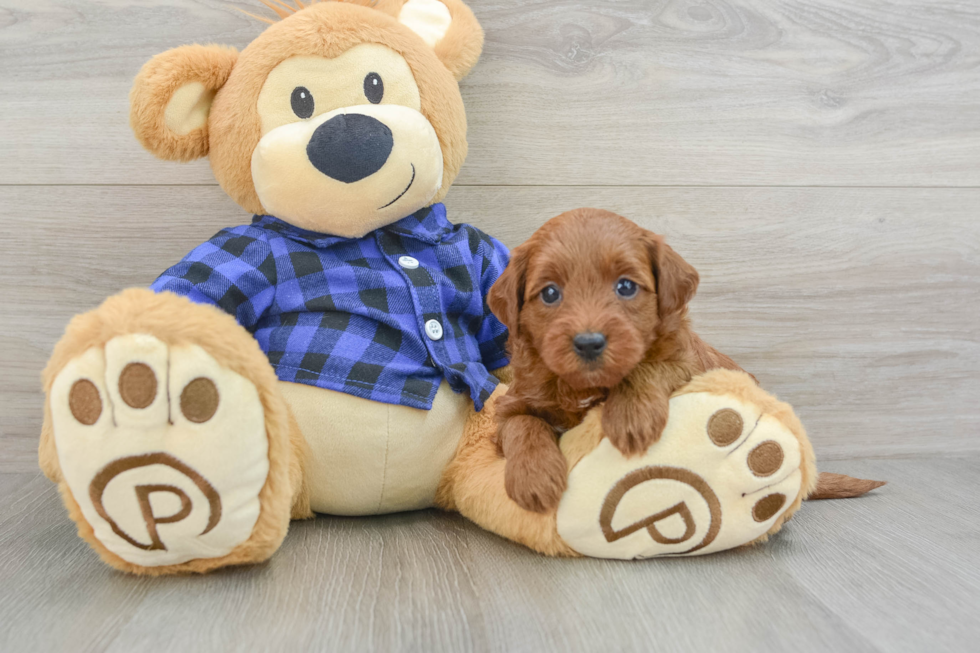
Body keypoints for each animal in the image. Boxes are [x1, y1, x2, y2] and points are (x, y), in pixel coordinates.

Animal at [490, 206, 752, 512]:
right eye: (550, 292)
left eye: (626, 286)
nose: (589, 344)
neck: (583, 387)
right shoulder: (512, 402)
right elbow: (521, 423)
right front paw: (534, 477)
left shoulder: (688, 365)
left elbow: (646, 366)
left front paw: (630, 416)